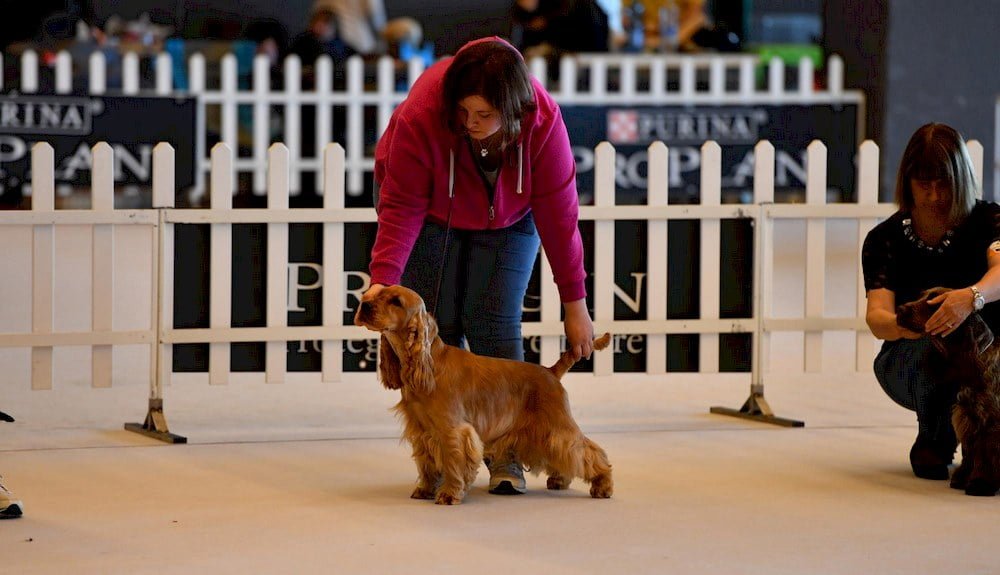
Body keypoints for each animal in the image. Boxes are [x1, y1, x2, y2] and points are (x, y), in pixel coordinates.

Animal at [356, 286, 612, 506]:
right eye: (377, 293)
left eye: (396, 301)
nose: (363, 305)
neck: (430, 362)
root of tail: (550, 371)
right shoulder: (421, 431)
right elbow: (427, 464)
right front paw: (425, 490)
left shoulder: (453, 429)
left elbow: (453, 461)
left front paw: (449, 494)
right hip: (545, 432)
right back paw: (559, 480)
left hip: (556, 426)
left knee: (587, 452)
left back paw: (603, 485)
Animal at [896, 286, 996, 496]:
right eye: (921, 296)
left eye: (934, 302)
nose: (900, 309)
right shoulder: (968, 419)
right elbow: (970, 454)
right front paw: (962, 479)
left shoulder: (989, 422)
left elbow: (986, 456)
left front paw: (980, 484)